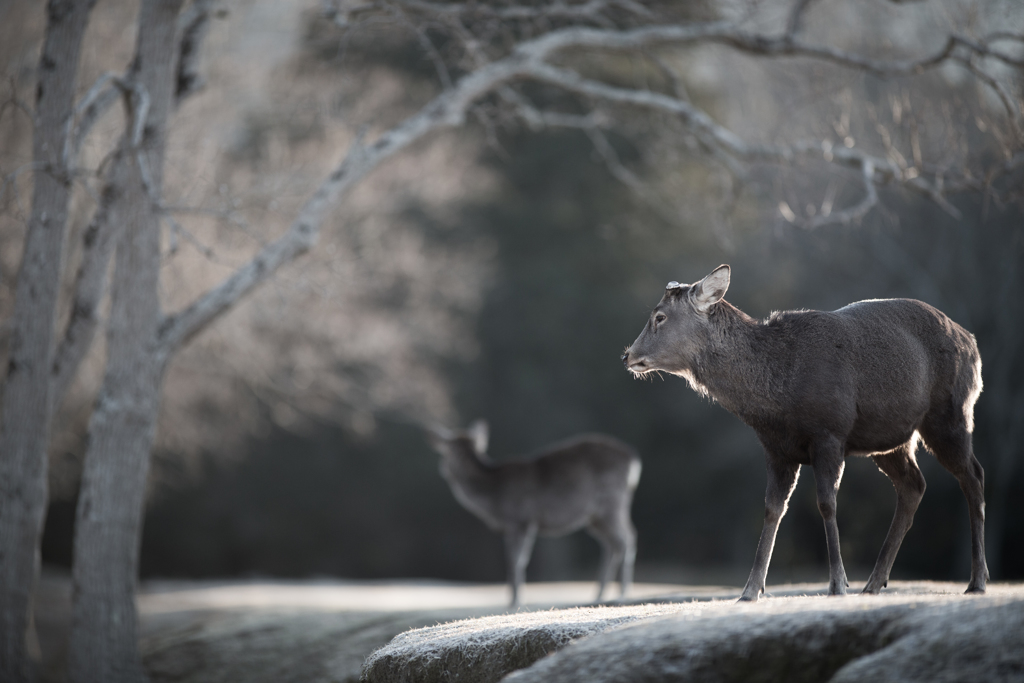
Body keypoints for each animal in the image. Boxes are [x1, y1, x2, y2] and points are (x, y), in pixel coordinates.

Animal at [425, 421, 638, 610]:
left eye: (447, 450)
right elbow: (513, 559)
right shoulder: (511, 527)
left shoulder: (521, 520)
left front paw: (516, 601)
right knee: (615, 541)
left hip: (611, 502)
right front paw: (513, 599)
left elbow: (516, 560)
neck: (493, 498)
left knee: (625, 539)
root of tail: (633, 459)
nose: (444, 471)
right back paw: (600, 594)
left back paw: (622, 593)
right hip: (596, 517)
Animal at [618, 264, 987, 602]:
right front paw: (750, 591)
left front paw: (837, 584)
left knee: (973, 475)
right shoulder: (776, 449)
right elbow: (771, 510)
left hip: (950, 414)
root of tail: (971, 341)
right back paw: (873, 583)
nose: (627, 355)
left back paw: (976, 581)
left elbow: (826, 503)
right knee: (914, 484)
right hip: (891, 439)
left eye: (660, 317)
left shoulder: (829, 433)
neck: (777, 397)